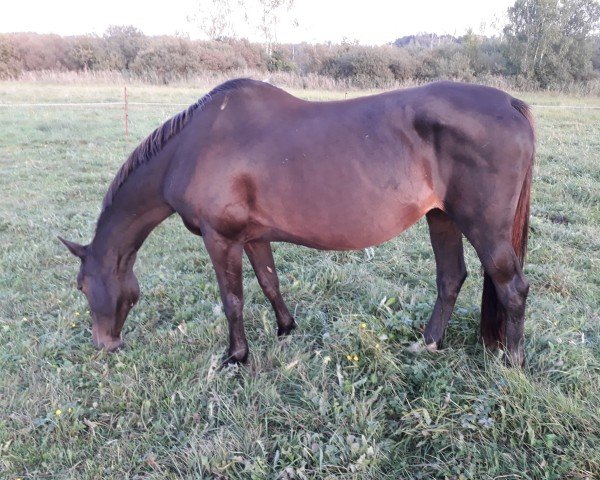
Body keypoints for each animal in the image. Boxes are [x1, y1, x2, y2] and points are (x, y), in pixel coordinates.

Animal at [59, 79, 536, 366]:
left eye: (82, 286)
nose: (104, 344)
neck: (190, 149)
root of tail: (510, 103)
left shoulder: (220, 239)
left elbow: (232, 300)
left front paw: (236, 357)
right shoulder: (251, 237)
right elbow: (269, 283)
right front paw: (286, 329)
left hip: (484, 227)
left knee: (512, 287)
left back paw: (511, 362)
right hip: (442, 217)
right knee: (450, 278)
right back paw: (429, 342)